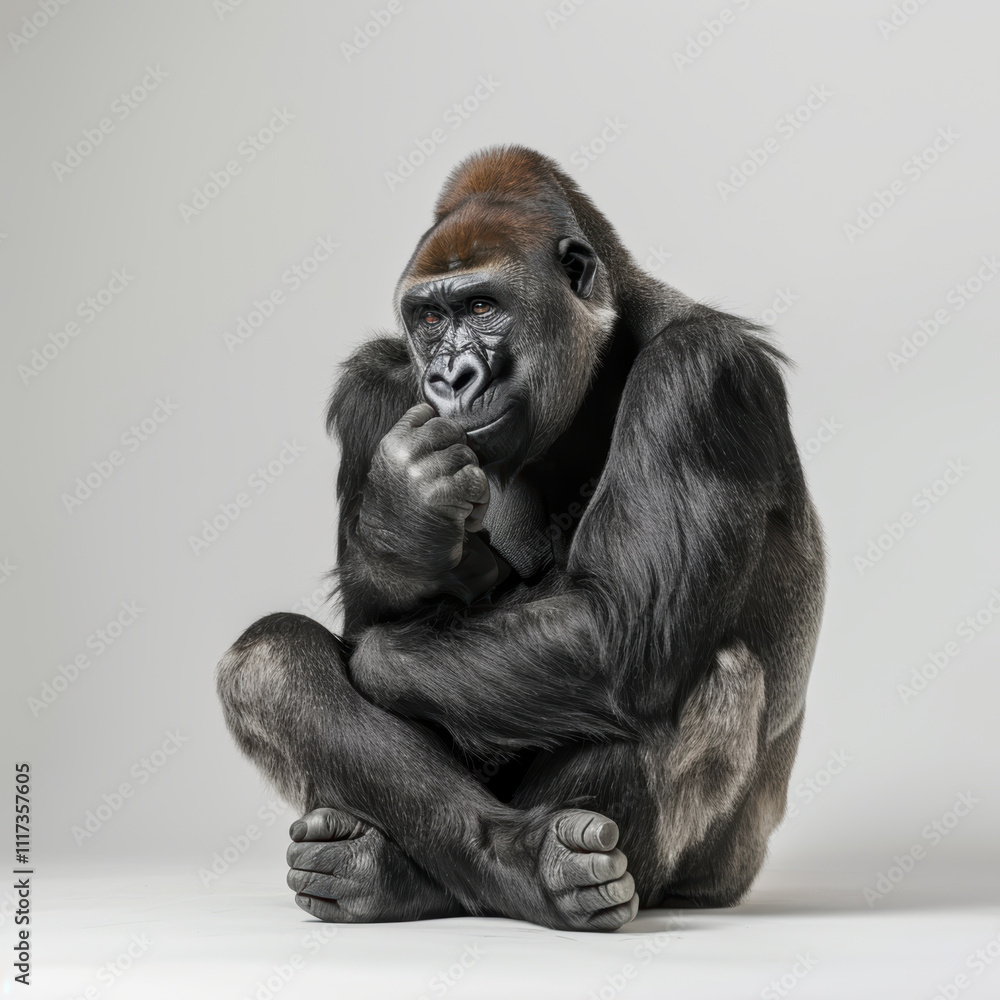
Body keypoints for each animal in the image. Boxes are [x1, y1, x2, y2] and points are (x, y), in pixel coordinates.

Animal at [216, 144, 825, 932]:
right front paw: (402, 524)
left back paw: (530, 875)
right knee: (267, 659)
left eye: (483, 307)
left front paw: (382, 655)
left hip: (718, 874)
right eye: (429, 318)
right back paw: (414, 869)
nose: (450, 377)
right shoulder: (371, 384)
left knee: (681, 669)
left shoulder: (701, 375)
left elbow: (615, 628)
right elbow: (362, 620)